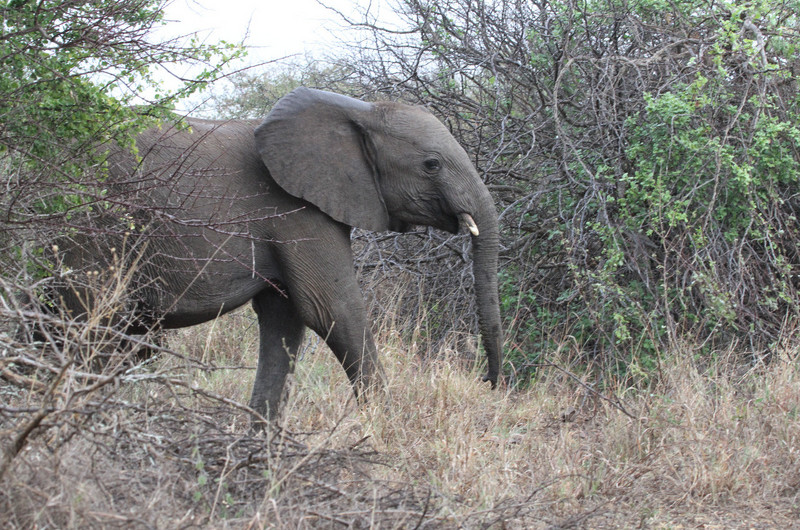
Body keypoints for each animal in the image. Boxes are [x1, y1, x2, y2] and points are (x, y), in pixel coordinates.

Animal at [47, 87, 504, 420]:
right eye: (431, 165)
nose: (487, 382)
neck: (357, 111)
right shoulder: (296, 211)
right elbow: (333, 310)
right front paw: (387, 430)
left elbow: (285, 321)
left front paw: (260, 447)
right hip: (91, 232)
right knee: (92, 322)